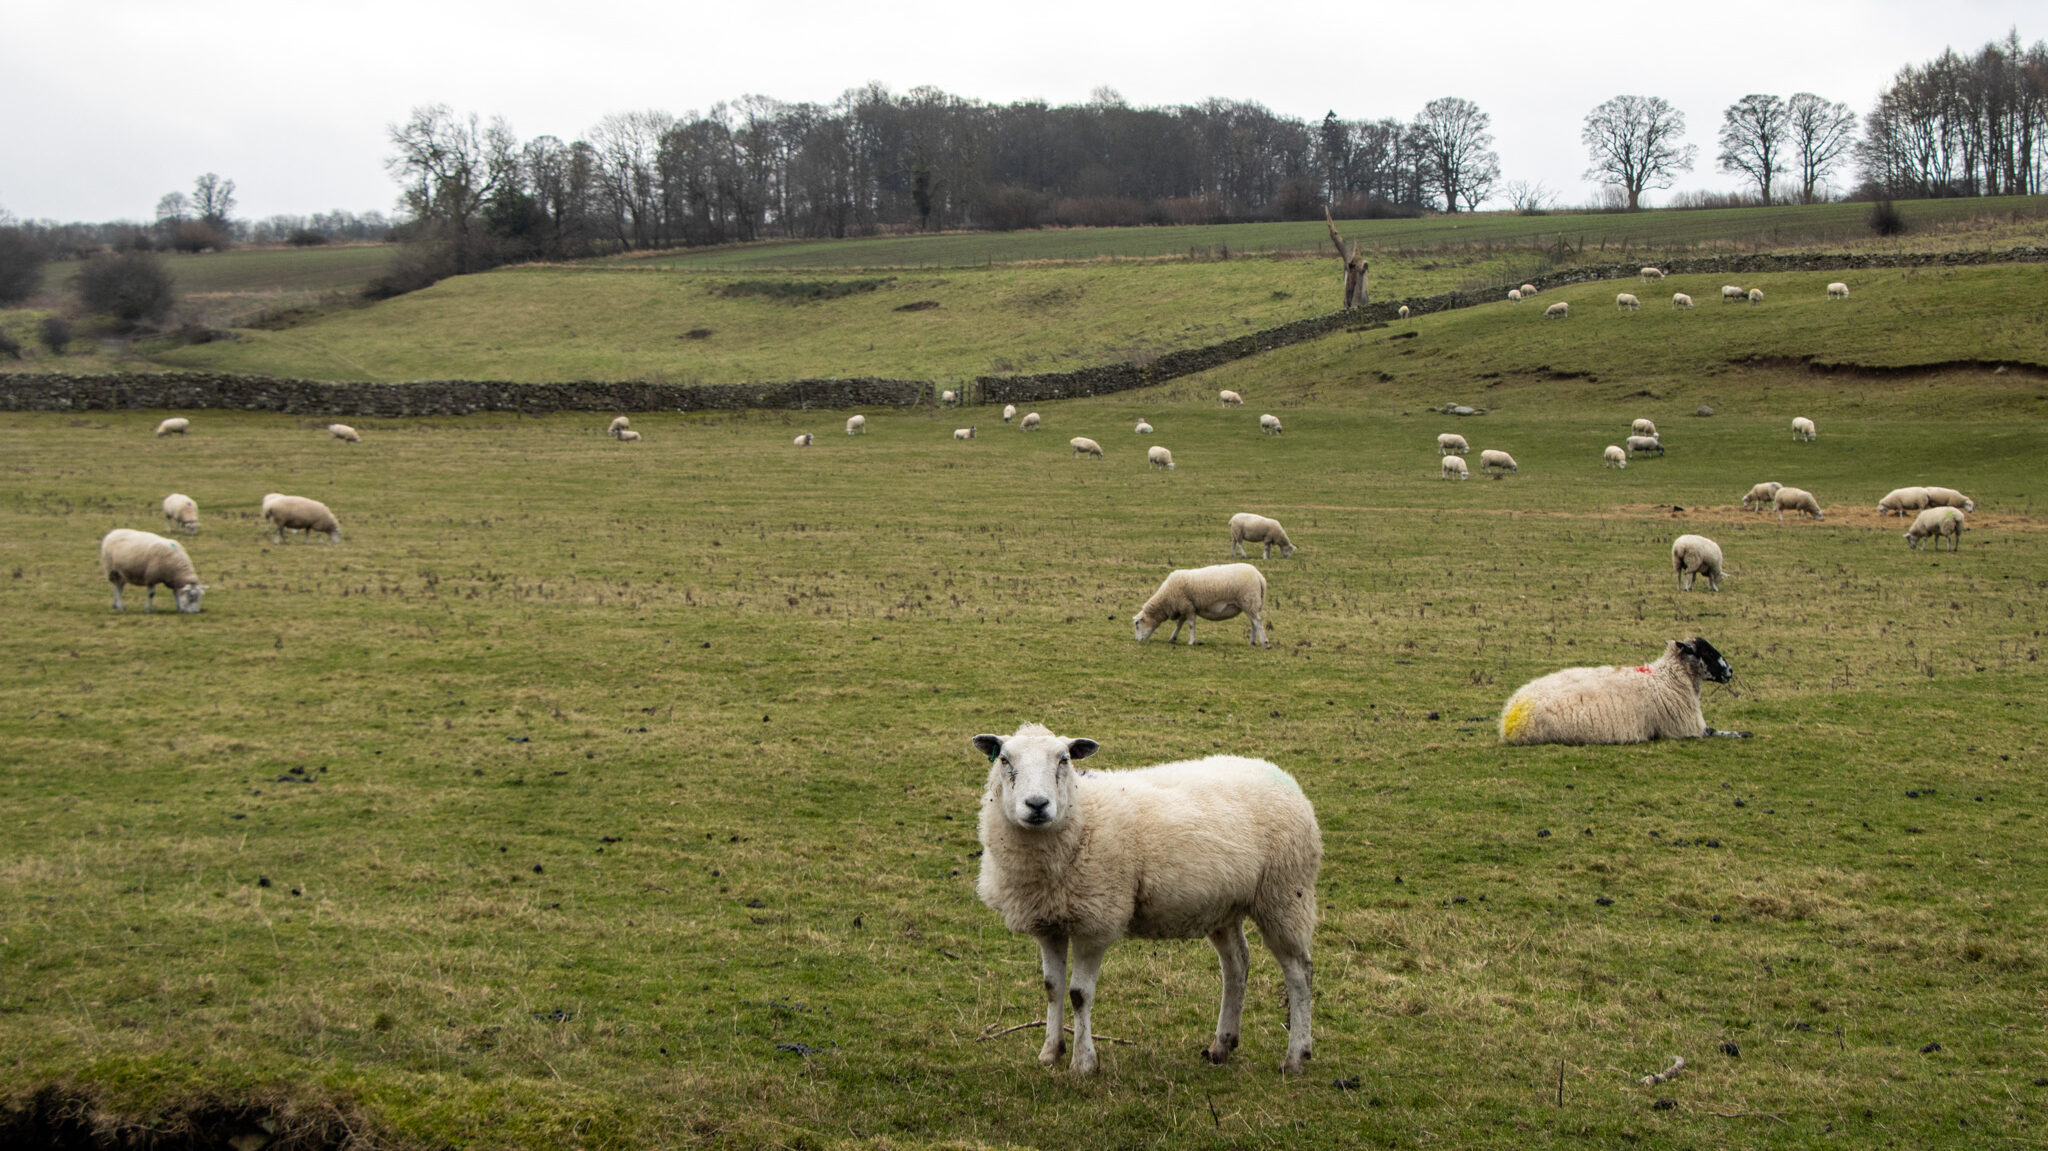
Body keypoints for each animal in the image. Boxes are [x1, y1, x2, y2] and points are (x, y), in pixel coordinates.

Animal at [970, 720, 1318, 1073]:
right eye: (1005, 760)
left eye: (1064, 759)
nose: (1037, 804)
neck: (1083, 816)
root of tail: (1280, 775)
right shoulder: (1050, 922)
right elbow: (1052, 988)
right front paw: (1051, 1052)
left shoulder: (1096, 920)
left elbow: (1079, 994)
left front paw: (1084, 1063)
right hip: (1225, 905)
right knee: (1237, 964)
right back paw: (1221, 1045)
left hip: (1285, 894)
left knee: (1299, 971)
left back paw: (1296, 1056)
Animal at [1499, 634, 1736, 745]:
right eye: (1708, 652)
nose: (1731, 671)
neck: (1668, 678)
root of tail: (1510, 719)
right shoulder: (1685, 729)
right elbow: (1722, 732)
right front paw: (1739, 733)